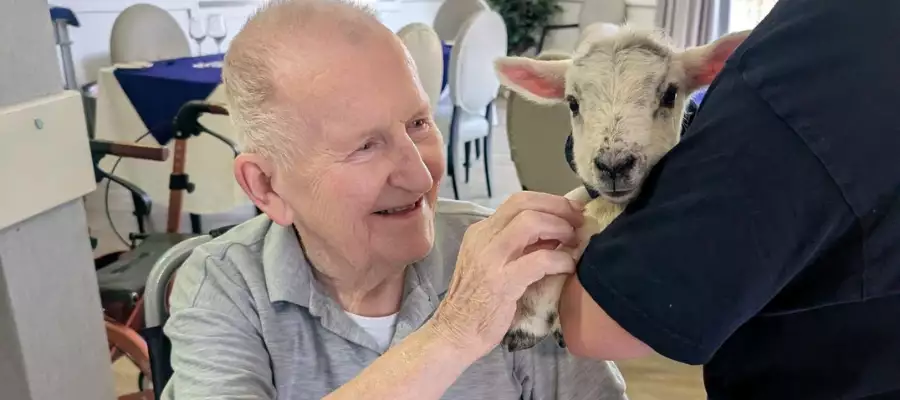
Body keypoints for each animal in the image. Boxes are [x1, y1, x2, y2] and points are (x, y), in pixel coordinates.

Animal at [493, 24, 751, 351]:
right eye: (573, 103)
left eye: (670, 94)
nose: (614, 166)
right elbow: (573, 200)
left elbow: (593, 216)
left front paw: (531, 314)